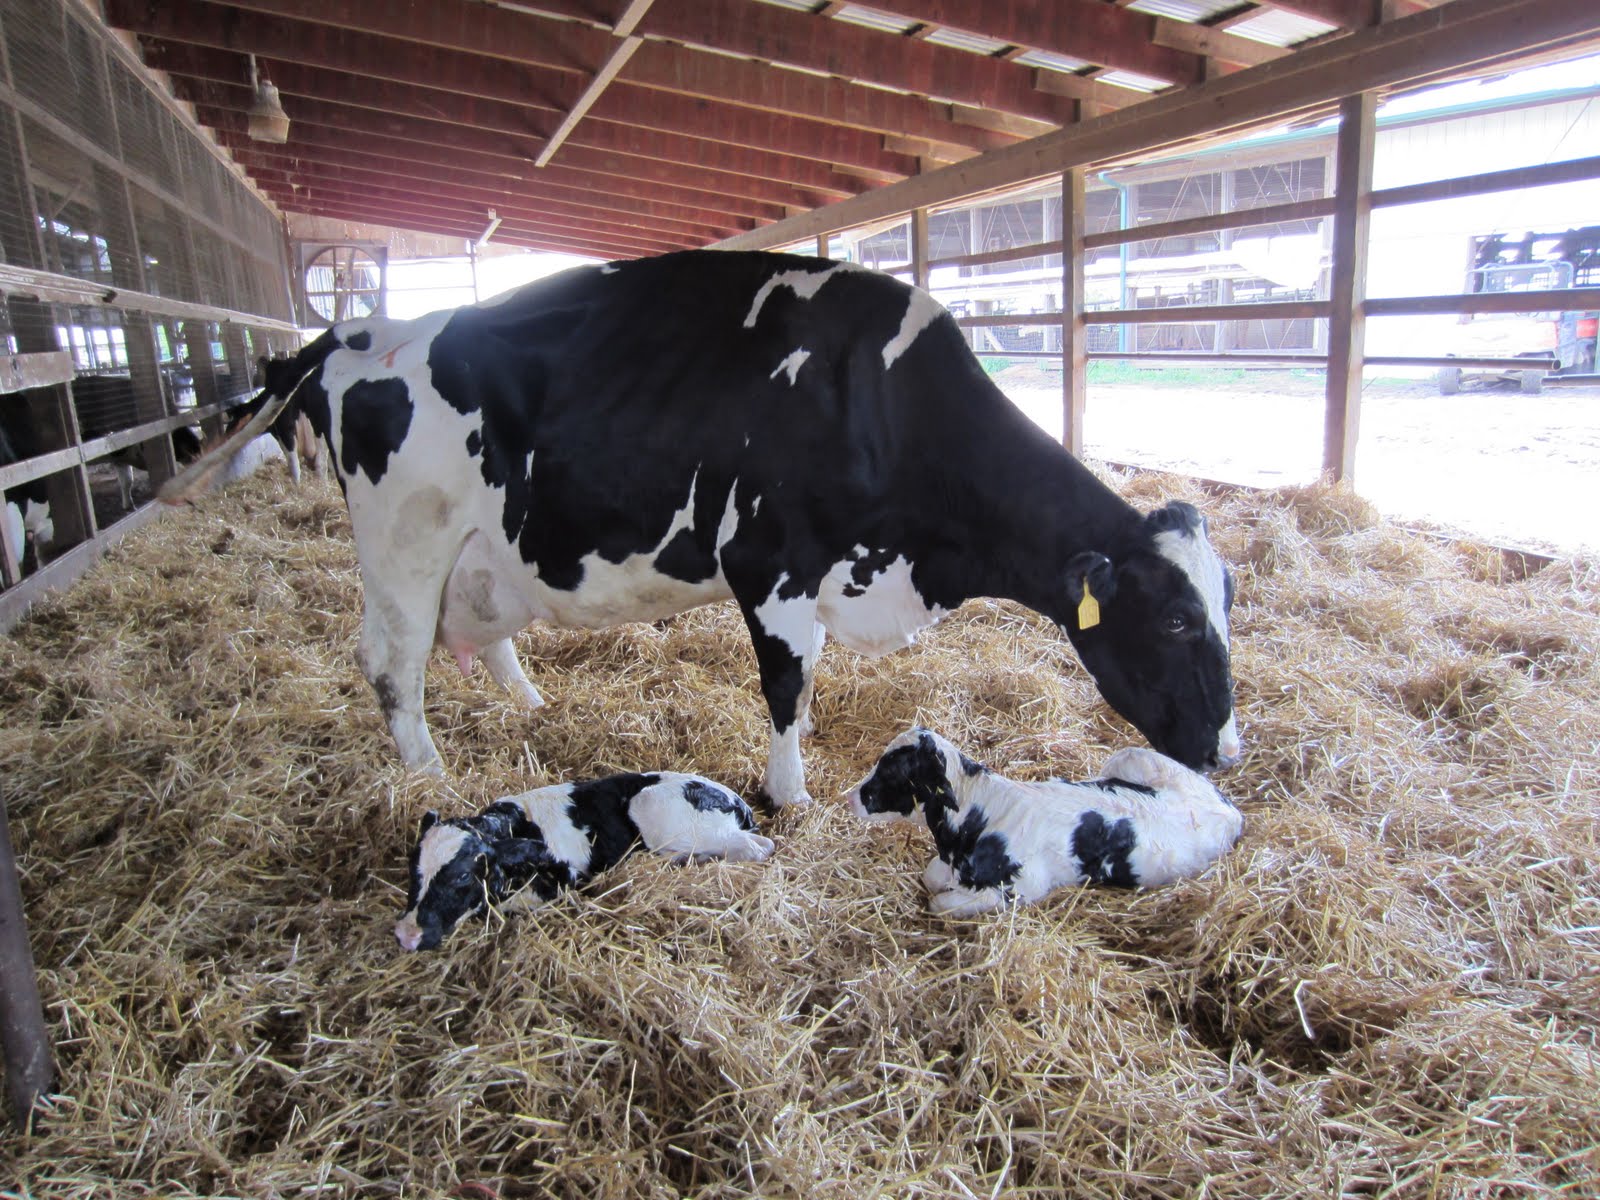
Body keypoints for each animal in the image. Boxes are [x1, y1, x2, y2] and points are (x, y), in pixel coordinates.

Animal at [162, 250, 1240, 805]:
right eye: (1178, 621)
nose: (1226, 754)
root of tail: (353, 333)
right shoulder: (772, 565)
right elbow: (786, 687)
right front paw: (792, 793)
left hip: (483, 551)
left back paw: (530, 708)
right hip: (404, 546)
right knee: (391, 662)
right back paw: (431, 781)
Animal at [394, 771, 775, 951]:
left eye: (462, 877)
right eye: (413, 870)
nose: (406, 934)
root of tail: (735, 799)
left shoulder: (565, 879)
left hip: (654, 809)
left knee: (760, 846)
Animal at [847, 727, 1243, 916]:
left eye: (893, 771)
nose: (851, 797)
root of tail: (1229, 810)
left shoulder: (1021, 888)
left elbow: (939, 903)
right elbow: (931, 878)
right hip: (1131, 757)